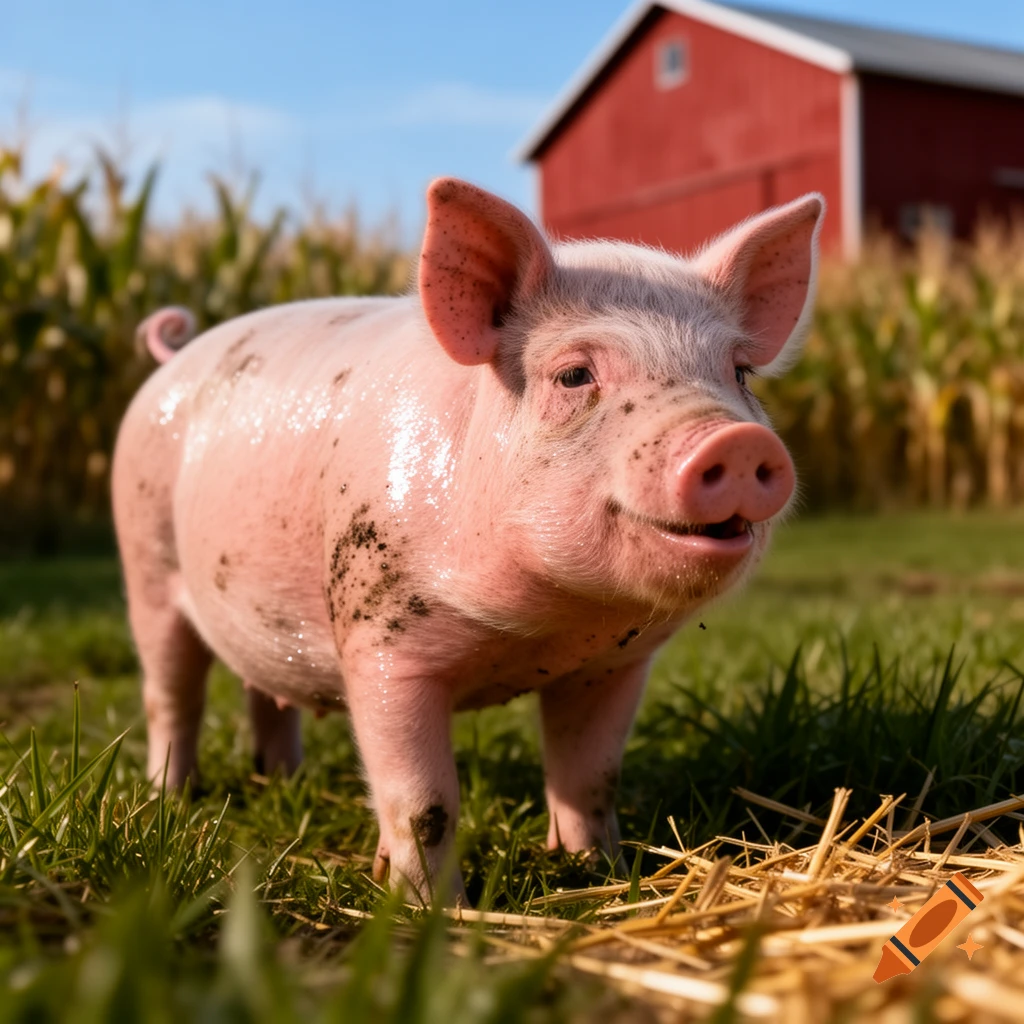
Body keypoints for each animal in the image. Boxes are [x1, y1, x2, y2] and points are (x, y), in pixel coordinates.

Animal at [112, 177, 824, 902]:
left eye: (740, 373)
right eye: (574, 375)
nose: (738, 441)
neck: (544, 629)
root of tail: (173, 357)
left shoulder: (611, 666)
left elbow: (592, 776)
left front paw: (598, 871)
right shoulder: (383, 644)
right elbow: (423, 804)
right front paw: (434, 909)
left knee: (264, 692)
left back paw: (280, 779)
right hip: (144, 559)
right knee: (170, 694)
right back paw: (172, 797)